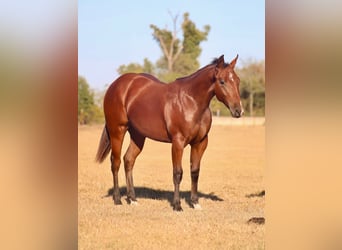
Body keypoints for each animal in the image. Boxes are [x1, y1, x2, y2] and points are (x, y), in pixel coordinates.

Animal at [95, 54, 242, 211]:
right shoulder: (178, 143)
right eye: (222, 81)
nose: (238, 110)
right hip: (117, 130)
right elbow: (177, 173)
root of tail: (115, 85)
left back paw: (132, 199)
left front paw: (195, 202)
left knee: (128, 160)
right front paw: (177, 205)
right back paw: (117, 199)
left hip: (138, 135)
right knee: (115, 162)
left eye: (237, 80)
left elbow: (195, 171)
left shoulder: (200, 143)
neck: (191, 101)